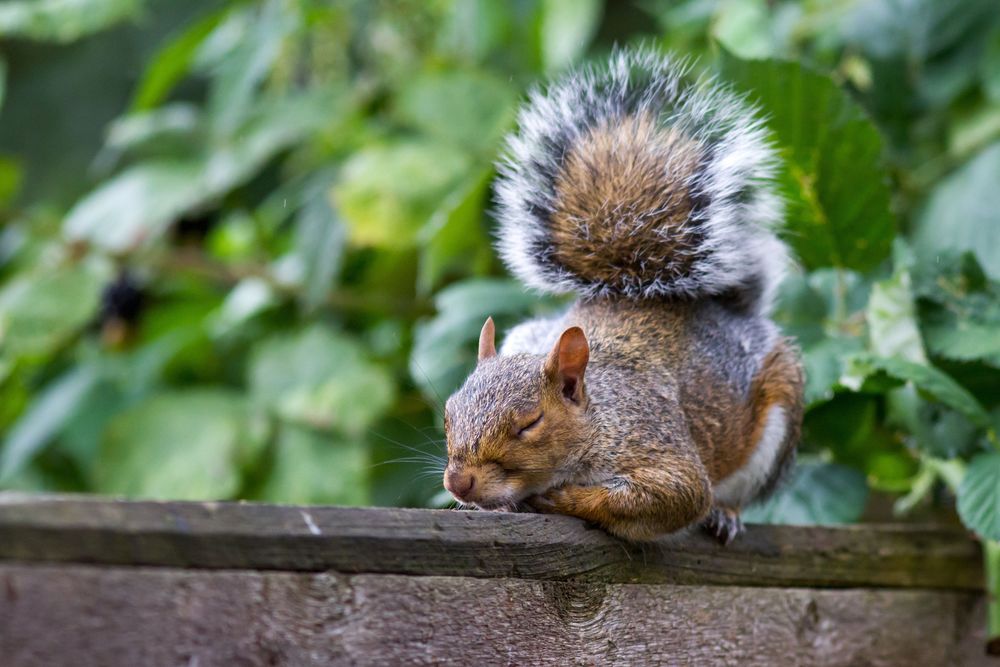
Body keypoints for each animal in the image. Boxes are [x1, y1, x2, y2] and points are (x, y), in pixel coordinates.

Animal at [438, 49, 804, 544]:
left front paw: (561, 500)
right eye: (447, 413)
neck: (599, 417)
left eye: (529, 424)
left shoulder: (656, 445)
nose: (459, 482)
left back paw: (726, 513)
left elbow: (673, 496)